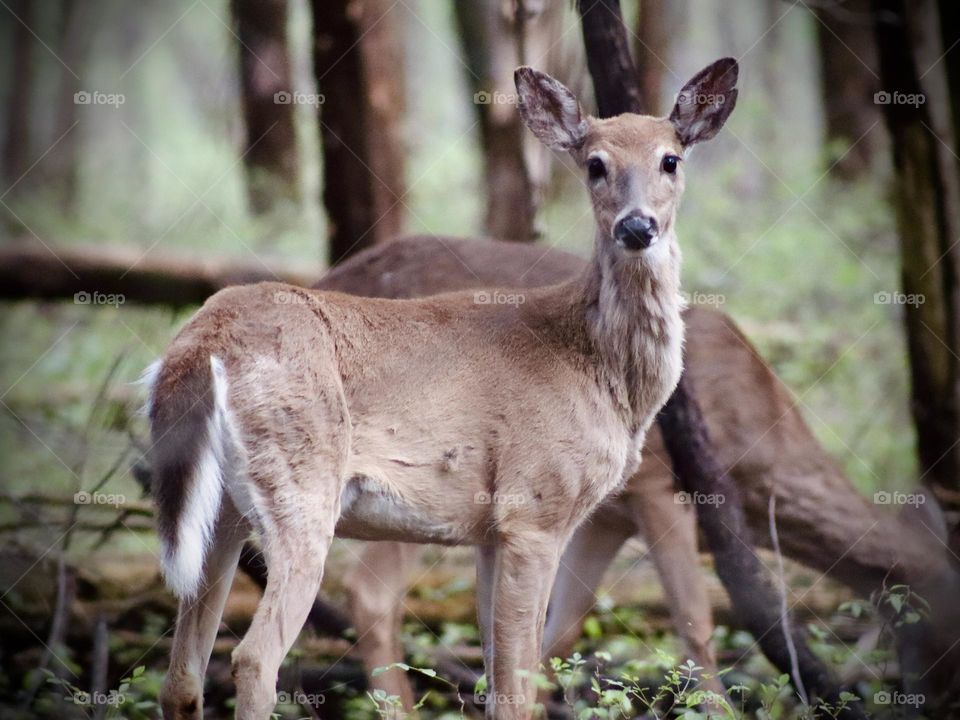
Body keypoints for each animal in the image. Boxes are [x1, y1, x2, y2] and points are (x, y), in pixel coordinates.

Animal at [144, 57, 744, 720]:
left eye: (671, 159)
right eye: (595, 163)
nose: (637, 226)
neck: (595, 366)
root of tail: (203, 343)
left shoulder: (490, 533)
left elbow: (498, 678)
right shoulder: (534, 509)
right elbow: (517, 685)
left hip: (221, 511)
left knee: (181, 677)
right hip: (300, 483)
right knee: (253, 657)